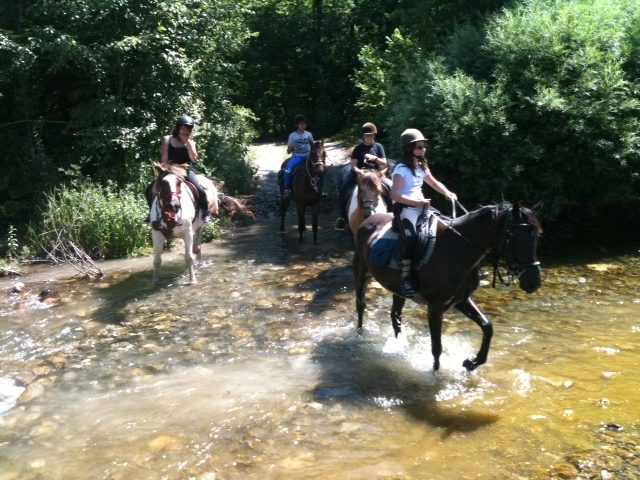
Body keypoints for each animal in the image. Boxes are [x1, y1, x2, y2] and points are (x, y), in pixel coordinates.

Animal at [352, 202, 544, 372]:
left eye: (536, 237)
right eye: (517, 238)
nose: (534, 282)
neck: (457, 250)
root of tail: (369, 220)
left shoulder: (461, 299)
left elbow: (487, 326)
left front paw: (472, 362)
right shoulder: (435, 307)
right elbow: (437, 347)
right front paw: (435, 375)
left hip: (398, 290)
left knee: (395, 317)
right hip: (362, 274)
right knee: (361, 306)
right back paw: (359, 336)